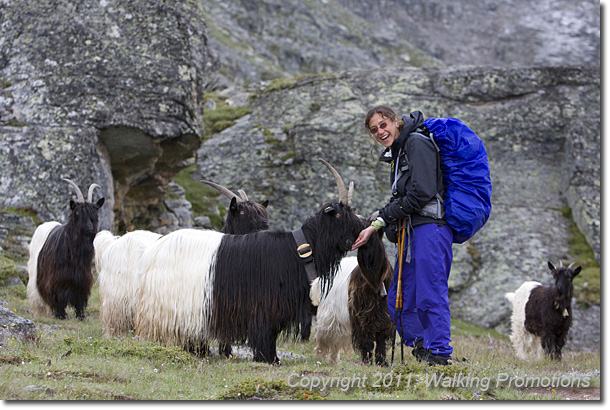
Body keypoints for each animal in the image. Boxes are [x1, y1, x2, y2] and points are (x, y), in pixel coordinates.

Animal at [26, 179, 105, 320]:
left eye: (94, 214)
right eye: (78, 213)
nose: (90, 228)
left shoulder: (81, 280)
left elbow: (79, 299)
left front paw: (80, 316)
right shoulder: (56, 279)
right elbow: (57, 297)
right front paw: (60, 315)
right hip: (35, 274)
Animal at [135, 160, 360, 366]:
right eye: (339, 214)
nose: (363, 227)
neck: (297, 249)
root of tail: (153, 251)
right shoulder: (264, 307)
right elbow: (265, 334)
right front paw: (269, 359)